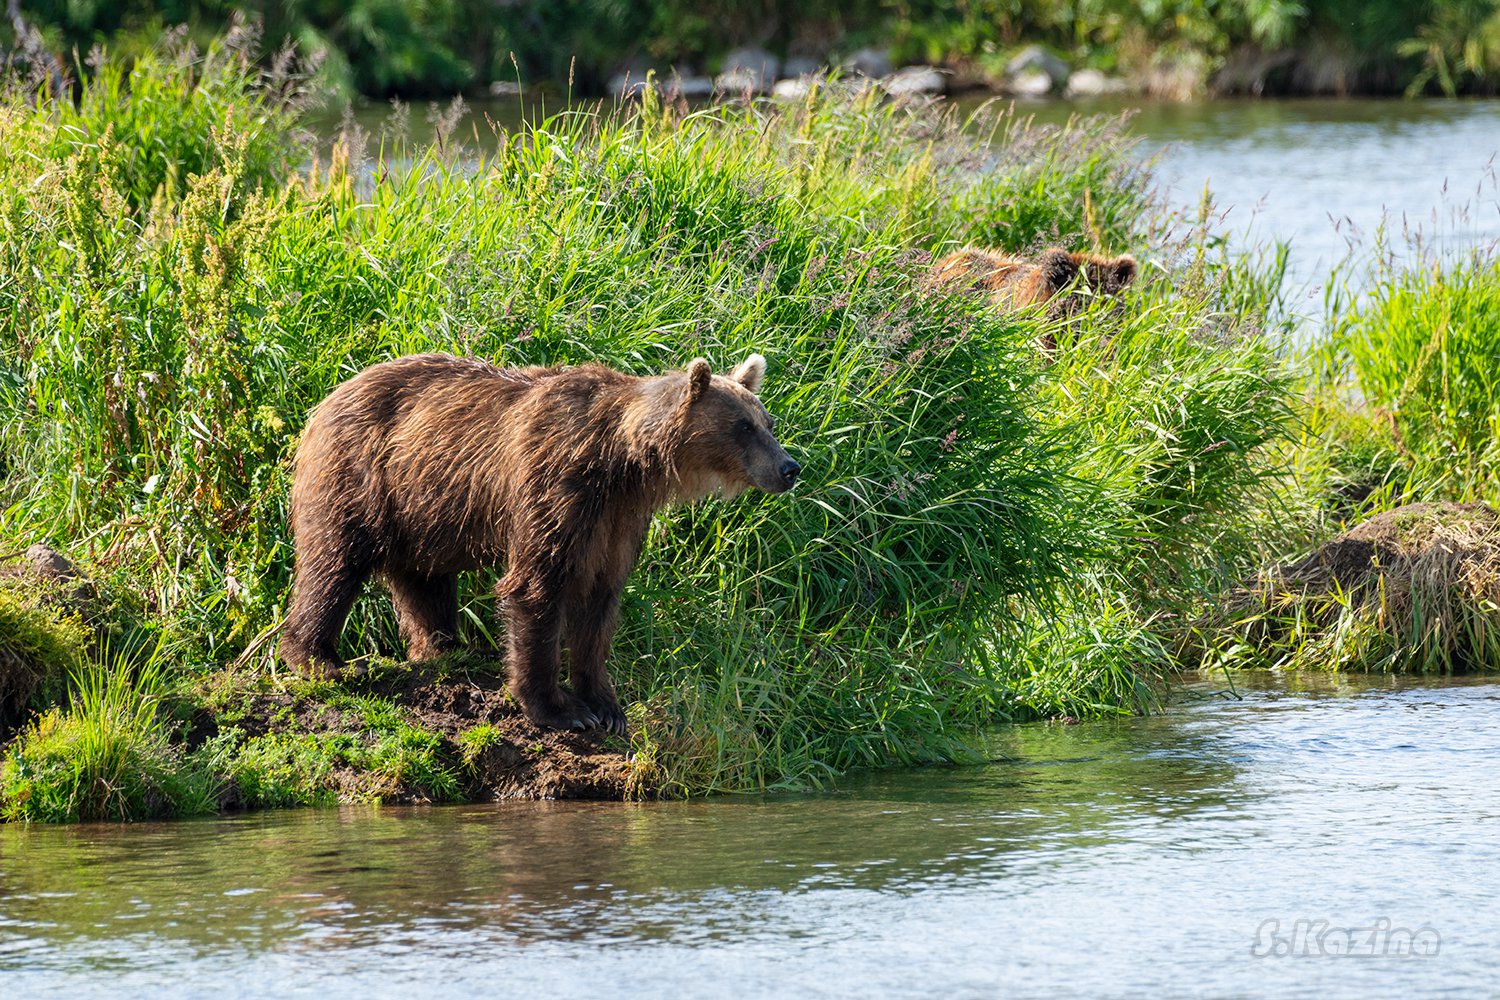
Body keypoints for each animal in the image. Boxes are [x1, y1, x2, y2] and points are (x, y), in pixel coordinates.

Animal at [277, 352, 804, 734]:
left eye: (768, 422)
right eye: (743, 426)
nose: (789, 467)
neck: (624, 462)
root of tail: (328, 396)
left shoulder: (617, 519)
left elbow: (600, 601)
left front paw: (606, 705)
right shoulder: (556, 484)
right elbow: (537, 586)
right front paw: (560, 708)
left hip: (421, 500)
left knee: (423, 578)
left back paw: (448, 648)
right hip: (360, 473)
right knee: (335, 560)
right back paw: (320, 659)